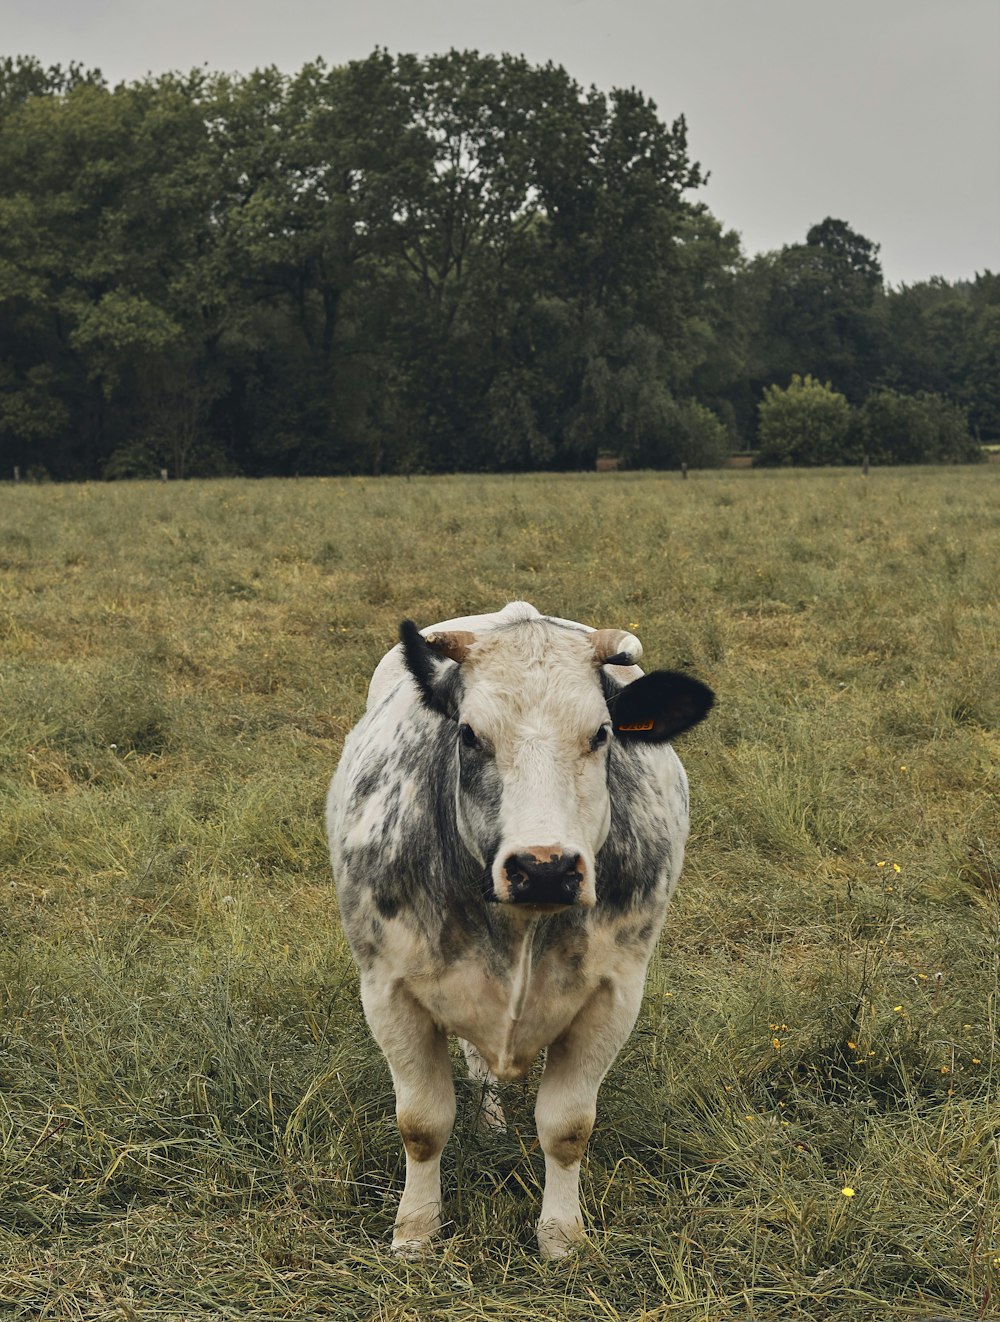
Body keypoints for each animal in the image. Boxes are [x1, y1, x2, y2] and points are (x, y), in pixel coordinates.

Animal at [326, 602, 708, 1258]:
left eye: (601, 733)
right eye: (469, 734)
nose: (545, 867)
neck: (521, 929)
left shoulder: (613, 995)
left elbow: (568, 1127)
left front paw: (560, 1237)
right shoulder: (388, 991)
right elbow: (422, 1124)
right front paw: (415, 1234)